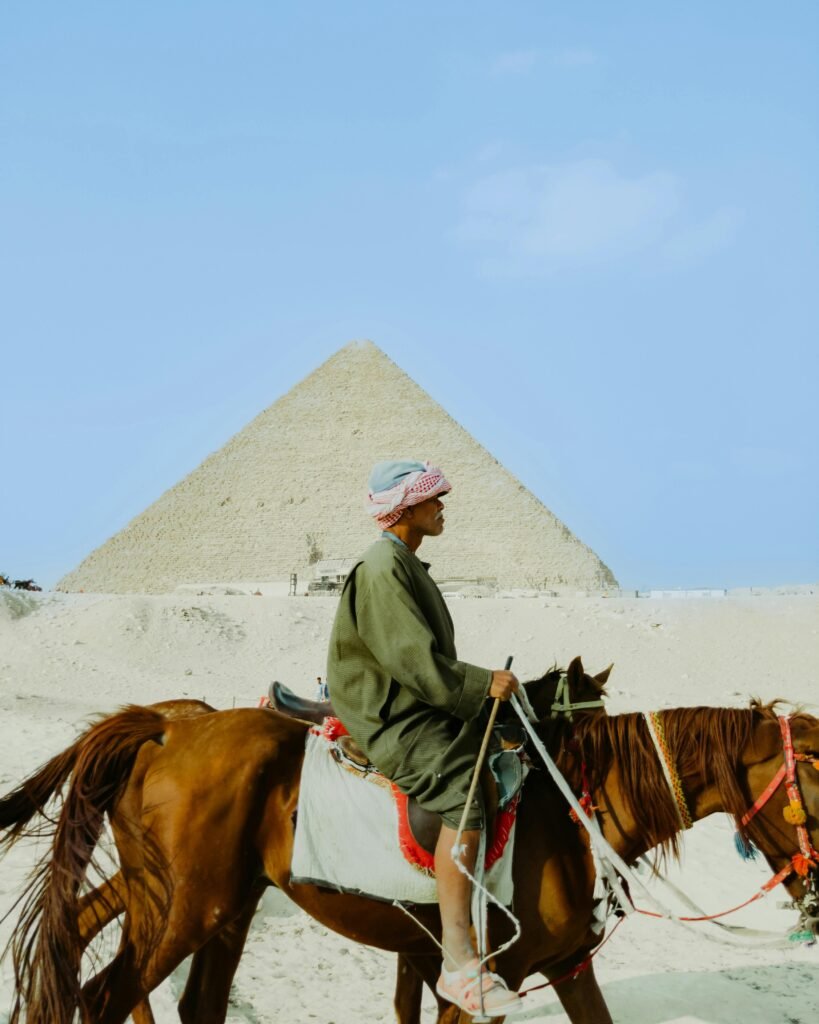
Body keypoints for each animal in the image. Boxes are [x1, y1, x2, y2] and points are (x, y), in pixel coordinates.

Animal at [3, 679, 819, 1024]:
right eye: (813, 767)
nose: (813, 893)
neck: (570, 803)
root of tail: (167, 726)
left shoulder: (560, 965)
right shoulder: (486, 975)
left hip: (215, 904)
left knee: (164, 989)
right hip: (182, 907)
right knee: (102, 992)